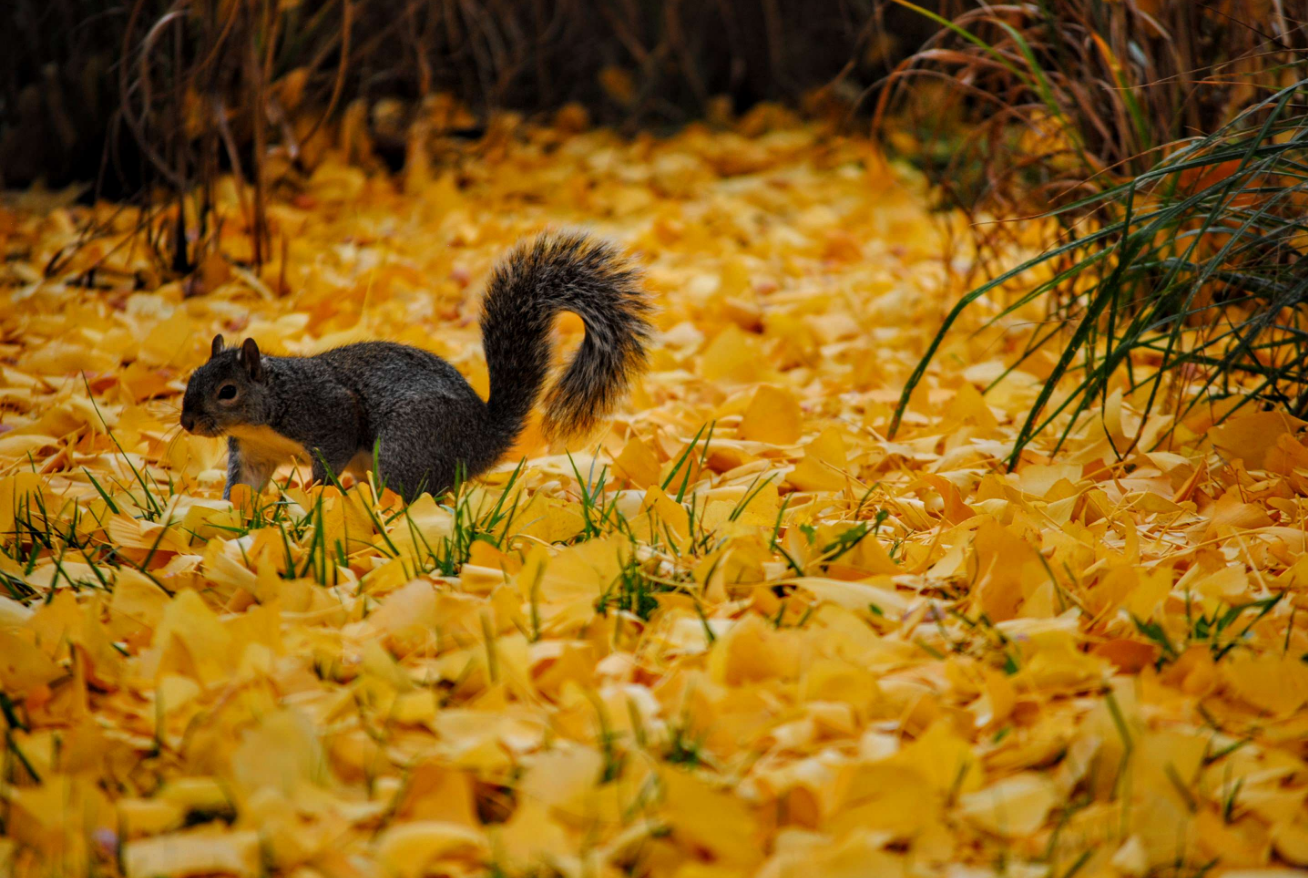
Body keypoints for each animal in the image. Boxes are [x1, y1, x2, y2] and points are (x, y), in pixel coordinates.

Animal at [180, 232, 652, 501]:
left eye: (227, 391)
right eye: (191, 380)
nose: (186, 424)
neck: (270, 405)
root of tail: (482, 439)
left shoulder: (327, 412)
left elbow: (332, 453)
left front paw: (318, 499)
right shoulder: (254, 451)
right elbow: (245, 485)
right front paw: (230, 515)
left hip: (407, 442)